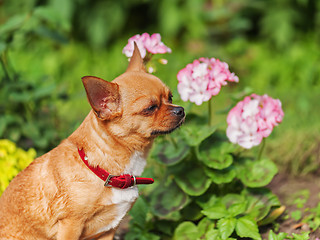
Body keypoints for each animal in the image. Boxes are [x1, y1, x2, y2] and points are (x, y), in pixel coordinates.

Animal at [0, 44, 185, 239]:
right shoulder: (70, 226)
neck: (102, 169)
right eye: (150, 108)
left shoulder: (108, 231)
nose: (181, 110)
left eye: (171, 97)